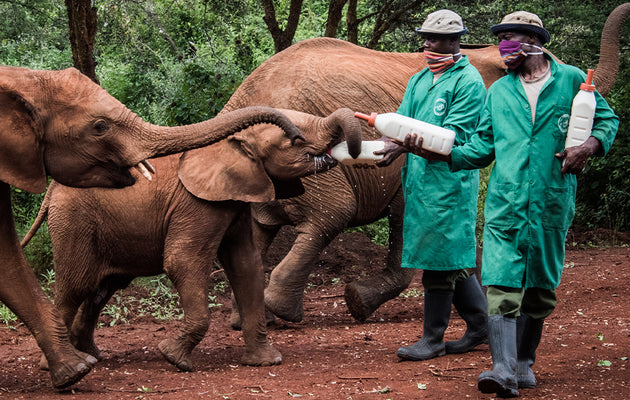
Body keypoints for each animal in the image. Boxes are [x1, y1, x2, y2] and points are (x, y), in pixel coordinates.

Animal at [1, 65, 304, 388]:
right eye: (100, 126)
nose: (296, 135)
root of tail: (52, 191)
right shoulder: (197, 207)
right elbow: (182, 262)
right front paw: (173, 359)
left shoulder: (233, 205)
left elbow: (247, 265)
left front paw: (267, 362)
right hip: (74, 221)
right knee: (77, 285)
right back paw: (61, 365)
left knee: (104, 287)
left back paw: (91, 356)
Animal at [225, 0, 628, 324]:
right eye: (547, 58)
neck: (477, 53)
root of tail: (238, 98)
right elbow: (406, 212)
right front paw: (358, 303)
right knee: (334, 212)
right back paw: (283, 312)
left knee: (260, 229)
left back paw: (249, 320)